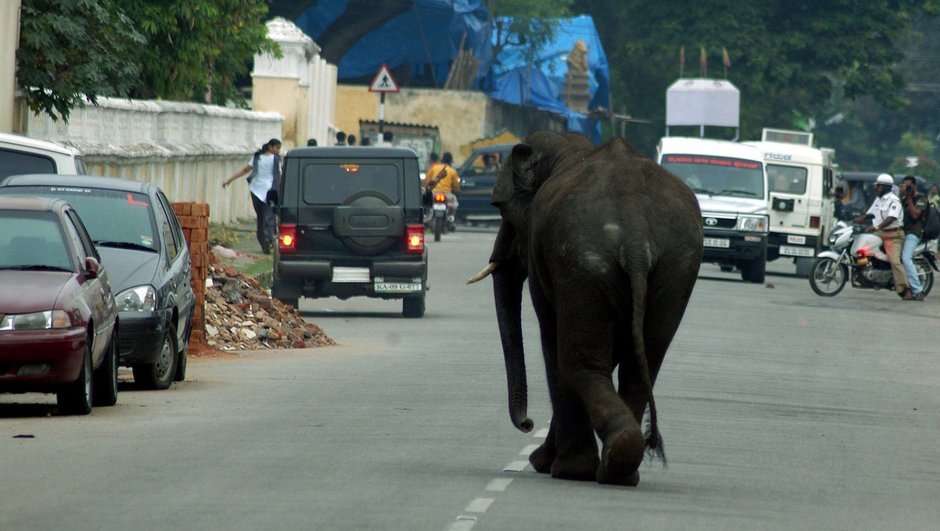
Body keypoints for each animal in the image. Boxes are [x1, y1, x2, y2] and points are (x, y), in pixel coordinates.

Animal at [466, 130, 700, 486]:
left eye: (505, 215)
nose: (527, 424)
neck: (571, 148)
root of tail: (635, 233)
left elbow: (552, 336)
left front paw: (548, 464)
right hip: (674, 268)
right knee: (640, 364)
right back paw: (621, 467)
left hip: (583, 259)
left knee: (577, 362)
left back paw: (583, 469)